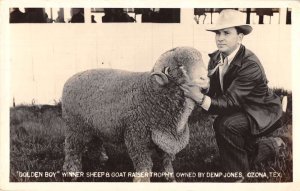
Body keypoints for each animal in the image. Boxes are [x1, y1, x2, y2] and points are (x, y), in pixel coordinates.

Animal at [62, 46, 209, 182]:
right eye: (180, 66)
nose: (205, 80)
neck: (150, 92)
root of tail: (70, 79)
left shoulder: (165, 136)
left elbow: (166, 160)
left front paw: (170, 178)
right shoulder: (136, 135)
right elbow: (143, 162)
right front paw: (141, 180)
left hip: (93, 126)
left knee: (95, 142)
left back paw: (101, 162)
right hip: (75, 127)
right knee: (72, 148)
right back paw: (72, 172)